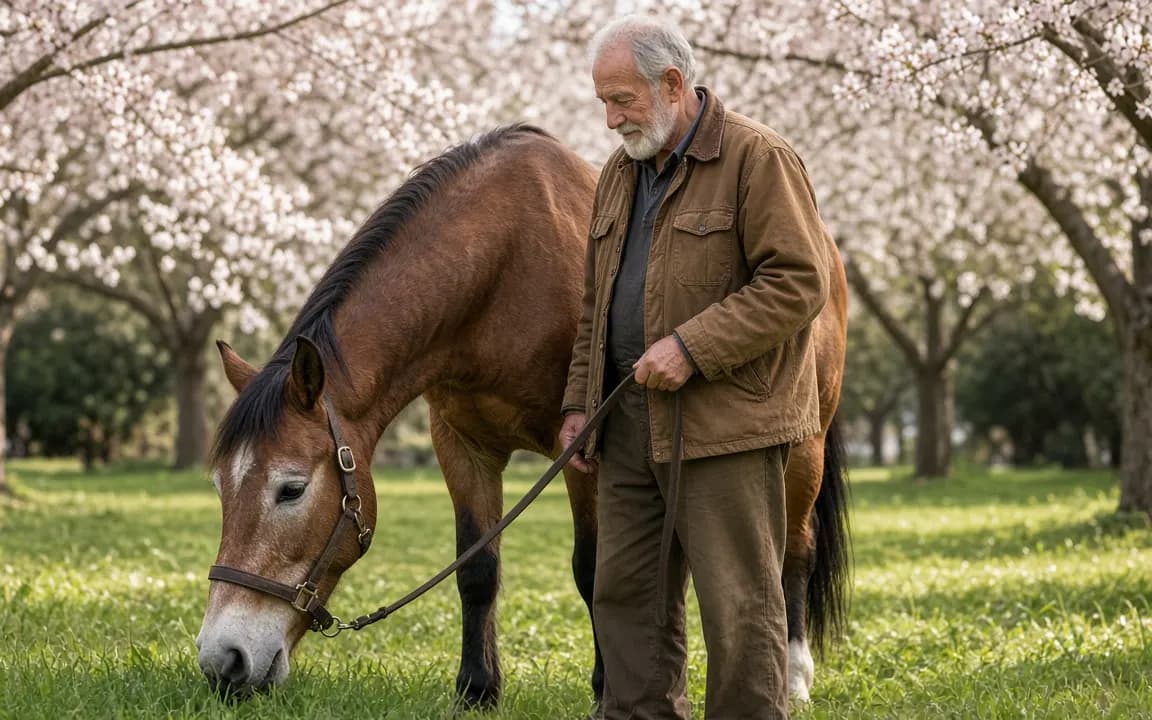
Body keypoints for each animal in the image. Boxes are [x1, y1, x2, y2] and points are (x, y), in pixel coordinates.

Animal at [195, 123, 850, 707]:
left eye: (291, 489)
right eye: (221, 488)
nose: (223, 661)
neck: (498, 271)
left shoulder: (585, 449)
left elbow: (593, 570)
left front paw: (606, 690)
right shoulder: (460, 445)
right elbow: (478, 570)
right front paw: (477, 689)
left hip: (801, 450)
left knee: (792, 550)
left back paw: (792, 676)